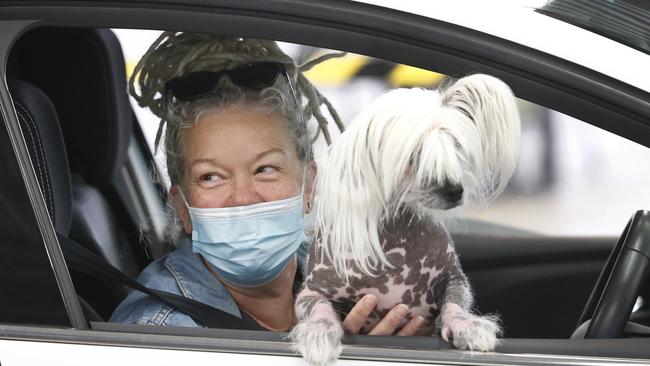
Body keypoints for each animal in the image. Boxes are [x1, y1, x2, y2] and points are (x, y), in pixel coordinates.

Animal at [288, 73, 520, 364]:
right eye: (413, 155)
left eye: (455, 147)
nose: (455, 191)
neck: (397, 236)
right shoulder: (313, 290)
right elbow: (317, 306)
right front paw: (318, 333)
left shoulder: (454, 279)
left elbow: (455, 301)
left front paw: (467, 325)